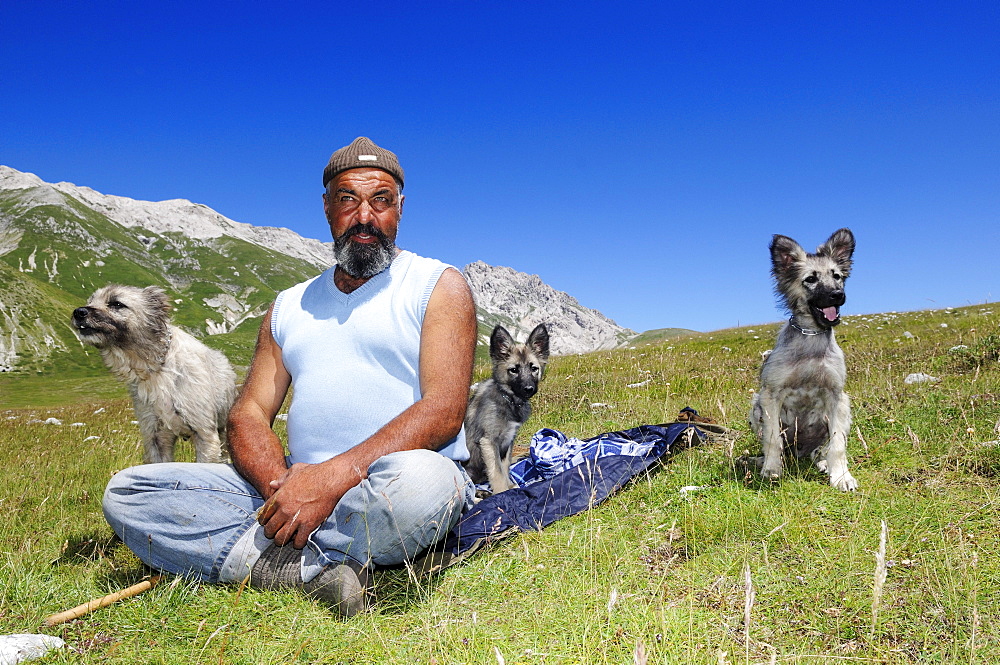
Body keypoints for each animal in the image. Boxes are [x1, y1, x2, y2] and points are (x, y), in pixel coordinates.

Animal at [72, 284, 236, 462]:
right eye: (90, 301)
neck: (157, 367)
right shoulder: (155, 435)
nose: (78, 312)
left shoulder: (204, 433)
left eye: (117, 304)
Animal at [752, 231, 860, 490]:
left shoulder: (836, 394)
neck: (811, 336)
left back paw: (823, 463)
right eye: (810, 279)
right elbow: (773, 440)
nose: (838, 295)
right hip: (756, 406)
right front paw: (771, 469)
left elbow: (838, 444)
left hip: (845, 407)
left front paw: (841, 476)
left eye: (837, 276)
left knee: (823, 449)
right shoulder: (770, 394)